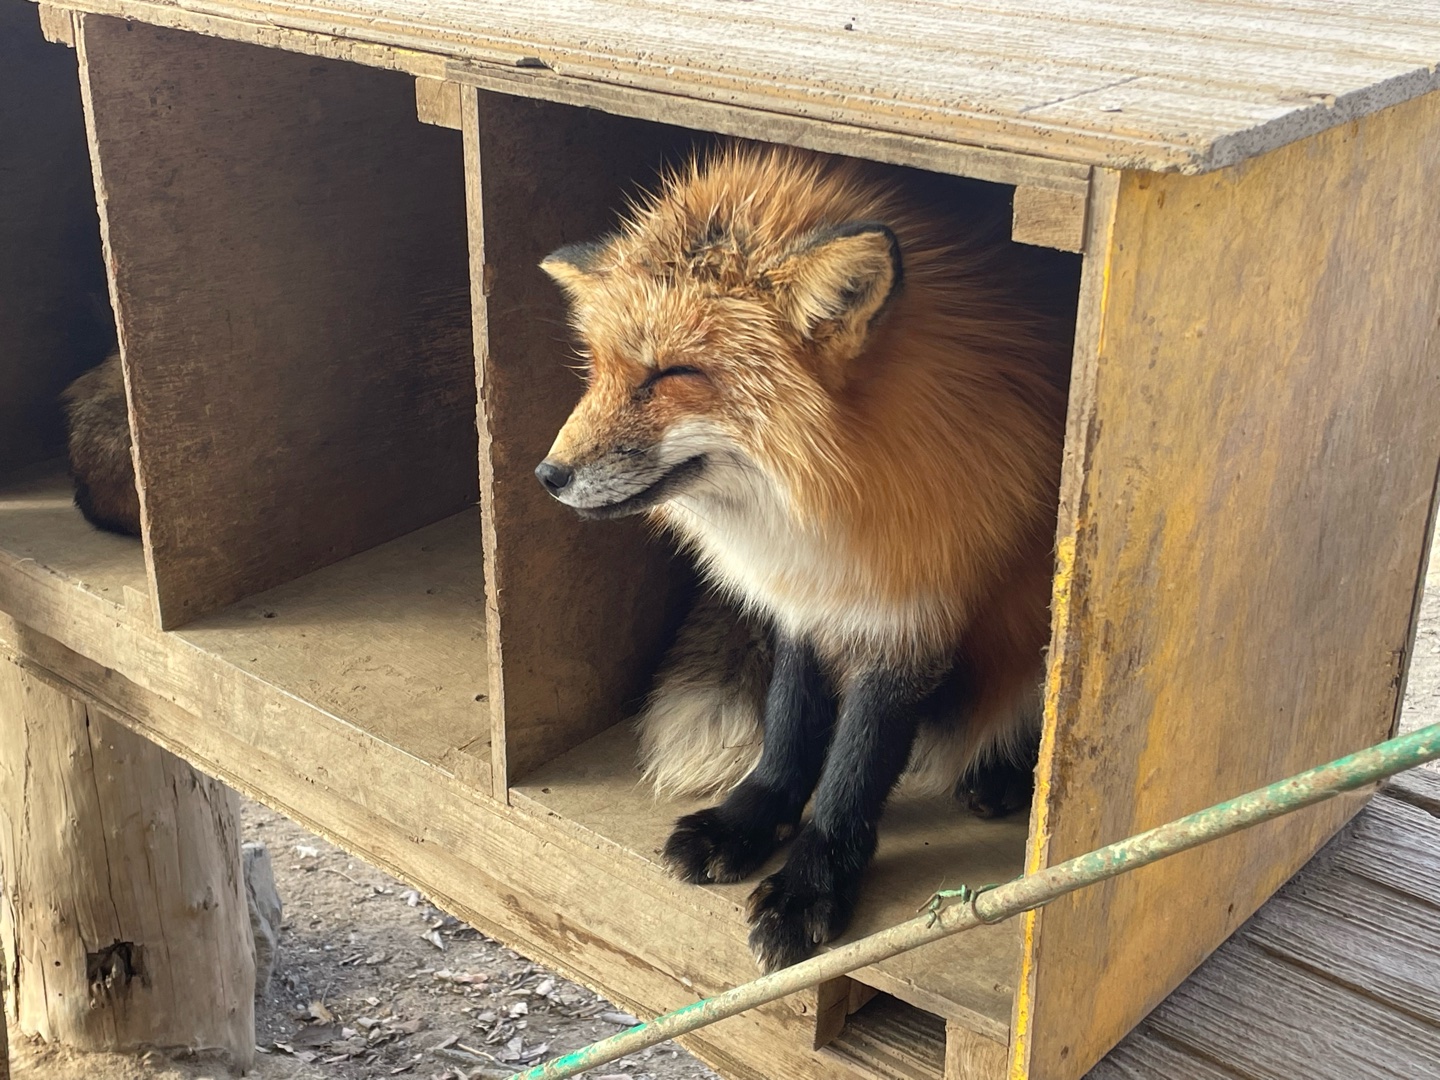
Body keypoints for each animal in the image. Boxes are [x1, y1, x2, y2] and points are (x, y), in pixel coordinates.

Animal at [537, 143, 1072, 971]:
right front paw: (750, 820)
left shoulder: (911, 612)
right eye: (597, 369)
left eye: (671, 375)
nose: (548, 476)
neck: (823, 513)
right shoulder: (807, 602)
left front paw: (811, 885)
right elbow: (789, 723)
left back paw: (1004, 774)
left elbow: (856, 766)